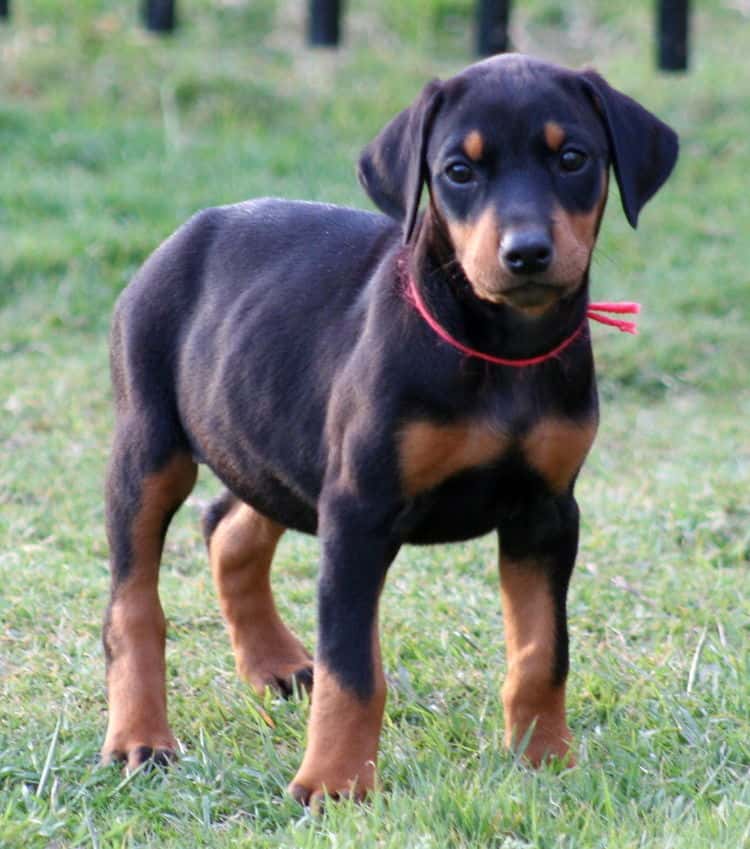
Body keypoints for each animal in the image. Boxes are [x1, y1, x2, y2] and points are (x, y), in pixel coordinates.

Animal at [101, 56, 680, 804]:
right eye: (459, 171)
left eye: (573, 158)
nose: (526, 253)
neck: (502, 350)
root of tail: (192, 229)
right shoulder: (359, 510)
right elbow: (352, 670)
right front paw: (333, 782)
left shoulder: (547, 513)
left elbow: (542, 652)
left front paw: (545, 758)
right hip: (150, 446)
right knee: (133, 605)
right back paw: (141, 737)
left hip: (274, 442)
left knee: (229, 528)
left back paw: (274, 661)